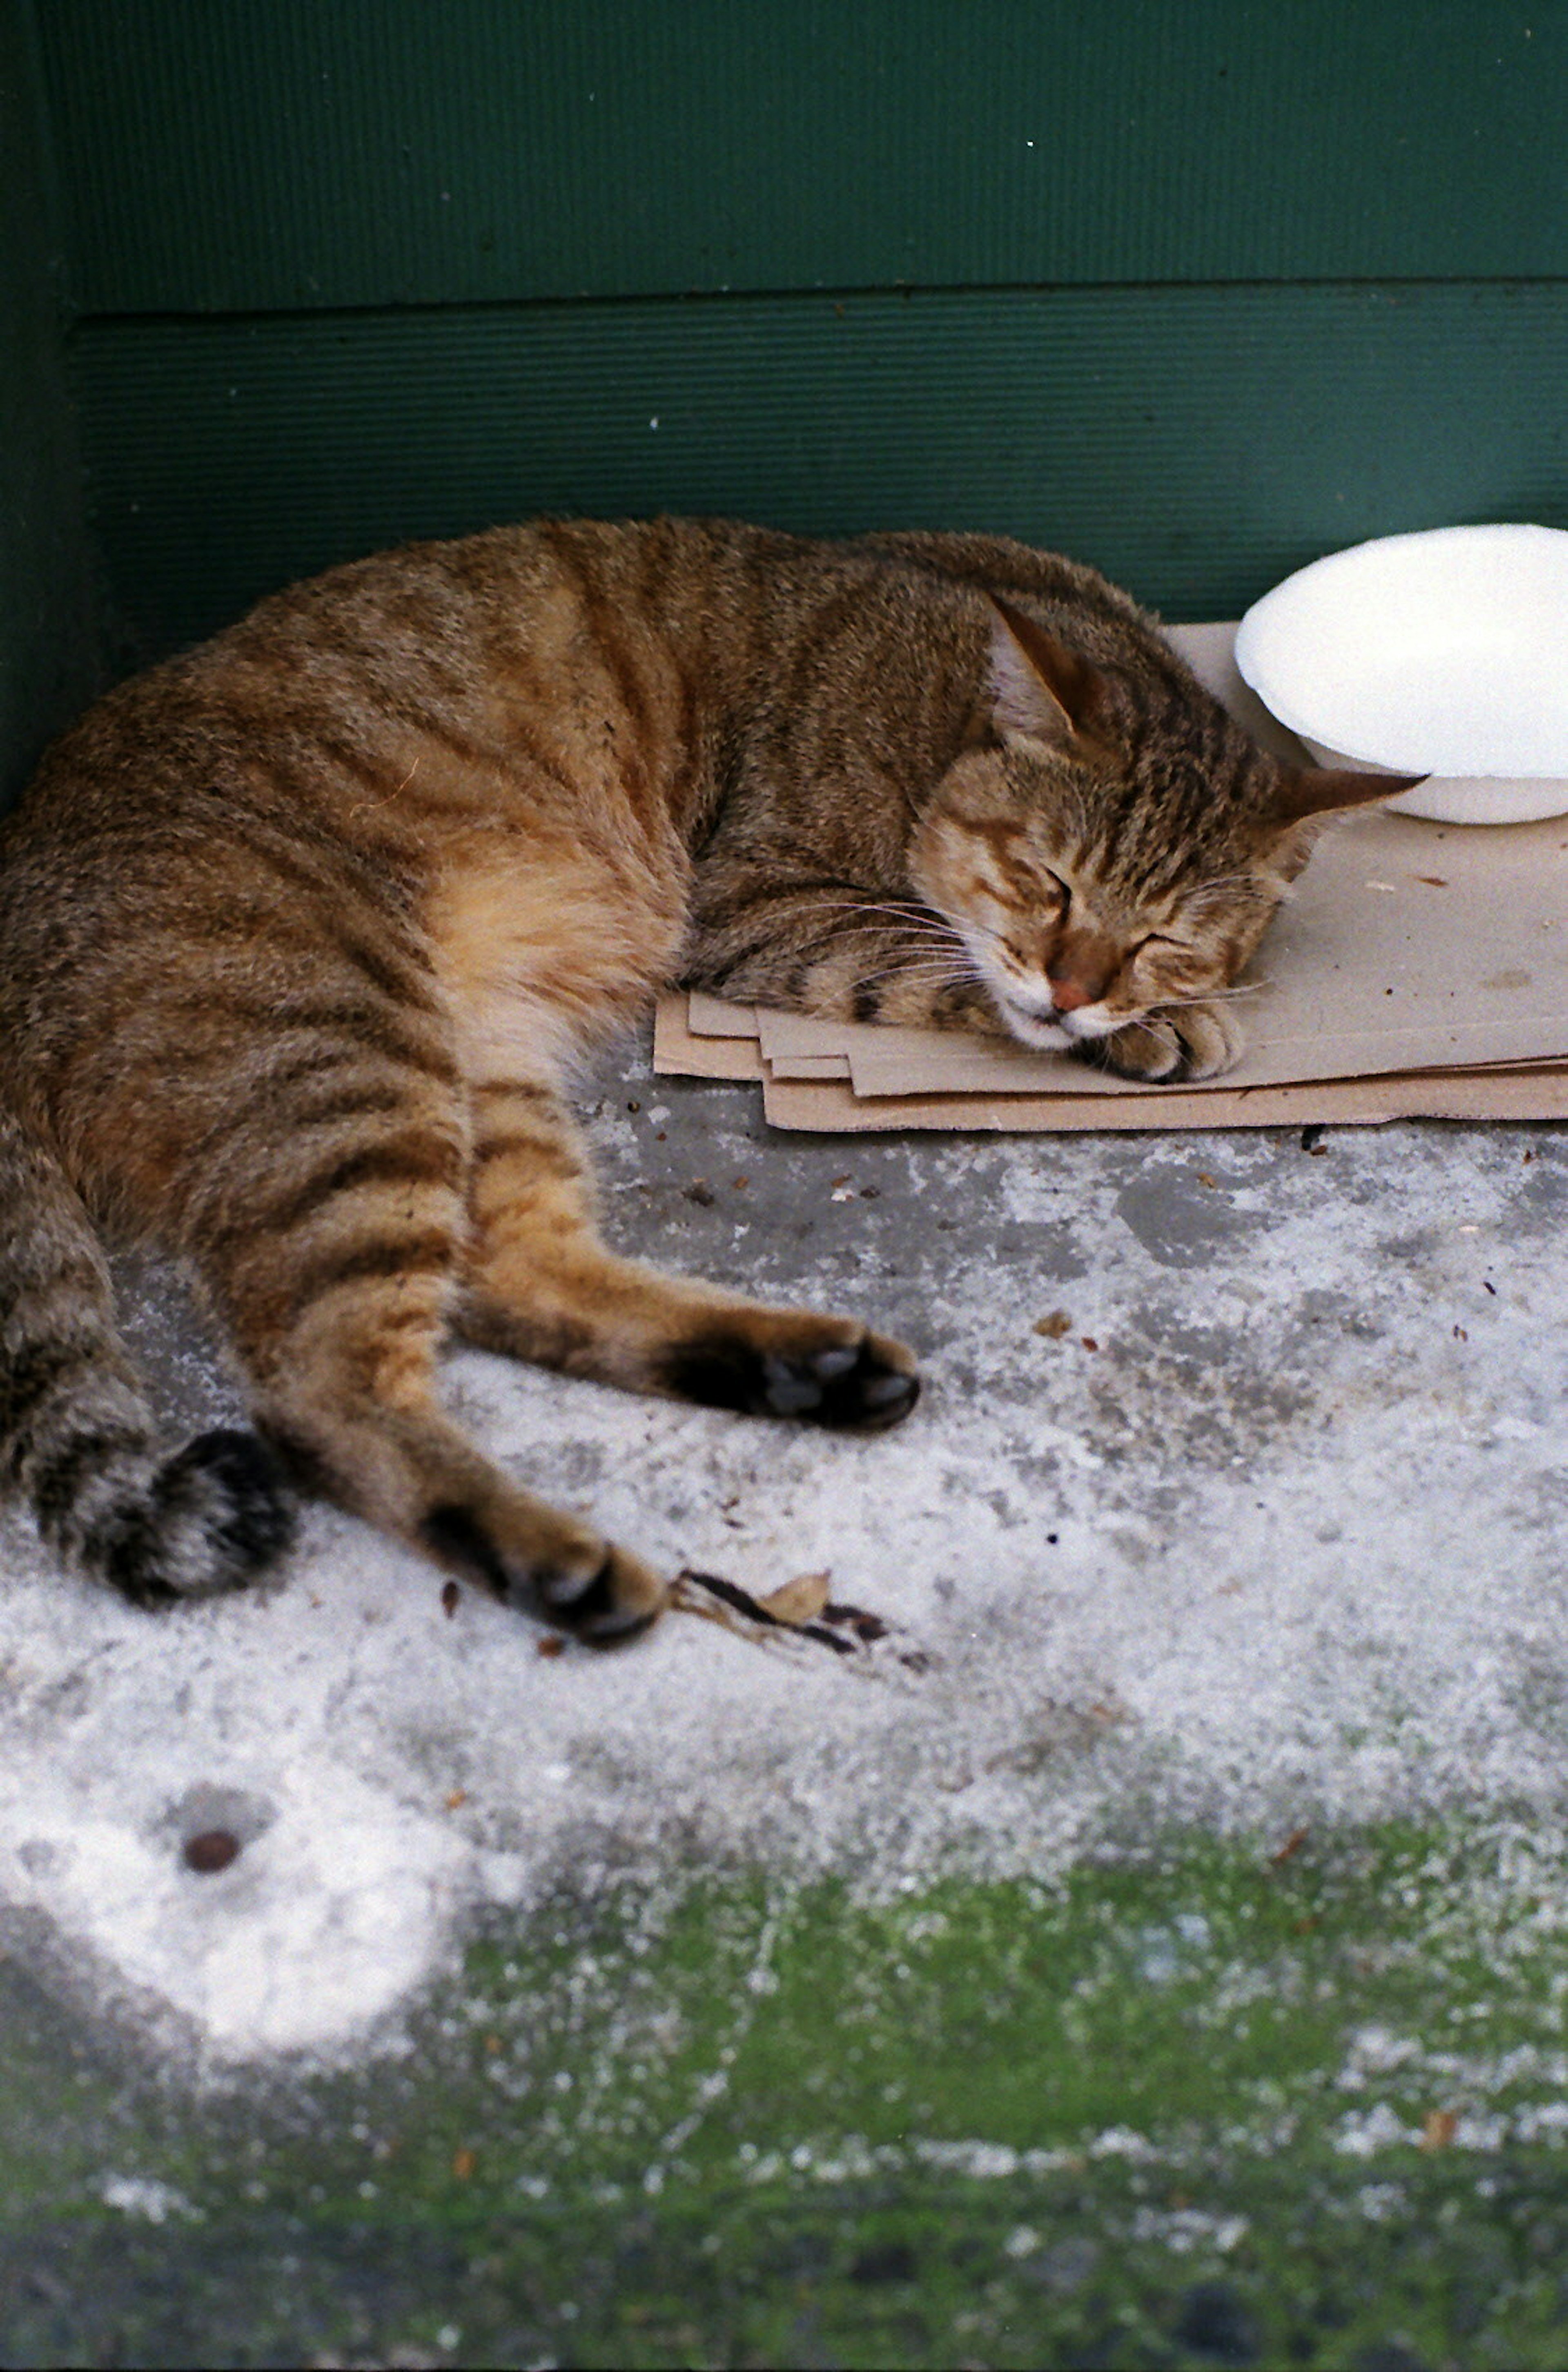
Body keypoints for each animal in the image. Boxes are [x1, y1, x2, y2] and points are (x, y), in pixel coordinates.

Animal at [0, 517, 1404, 1632]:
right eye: (1045, 882)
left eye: (1166, 933)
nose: (1080, 987)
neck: (936, 710)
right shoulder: (764, 910)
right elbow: (933, 965)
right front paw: (1143, 1029)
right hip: (340, 1055)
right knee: (317, 1390)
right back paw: (556, 1562)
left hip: (467, 1064)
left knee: (505, 1277)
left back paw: (797, 1372)